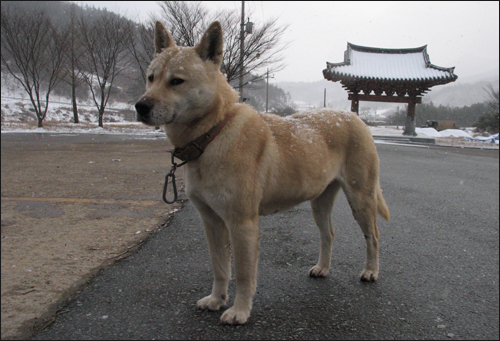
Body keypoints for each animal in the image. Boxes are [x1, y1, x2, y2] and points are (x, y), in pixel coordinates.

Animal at [137, 21, 390, 324]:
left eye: (176, 81)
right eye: (151, 78)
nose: (140, 106)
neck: (212, 134)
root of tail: (353, 116)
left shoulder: (242, 222)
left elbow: (244, 273)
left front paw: (239, 311)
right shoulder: (211, 221)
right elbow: (220, 267)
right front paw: (216, 300)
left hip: (361, 197)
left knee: (373, 235)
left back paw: (372, 271)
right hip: (319, 200)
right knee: (328, 234)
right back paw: (322, 268)